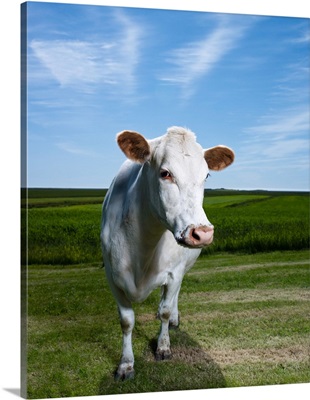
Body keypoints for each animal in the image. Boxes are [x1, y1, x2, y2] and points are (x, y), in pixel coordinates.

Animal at [100, 126, 234, 380]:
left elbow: (163, 310)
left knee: (173, 298)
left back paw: (173, 318)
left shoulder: (174, 274)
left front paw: (163, 347)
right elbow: (126, 321)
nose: (202, 233)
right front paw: (126, 364)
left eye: (206, 176)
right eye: (165, 173)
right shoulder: (112, 277)